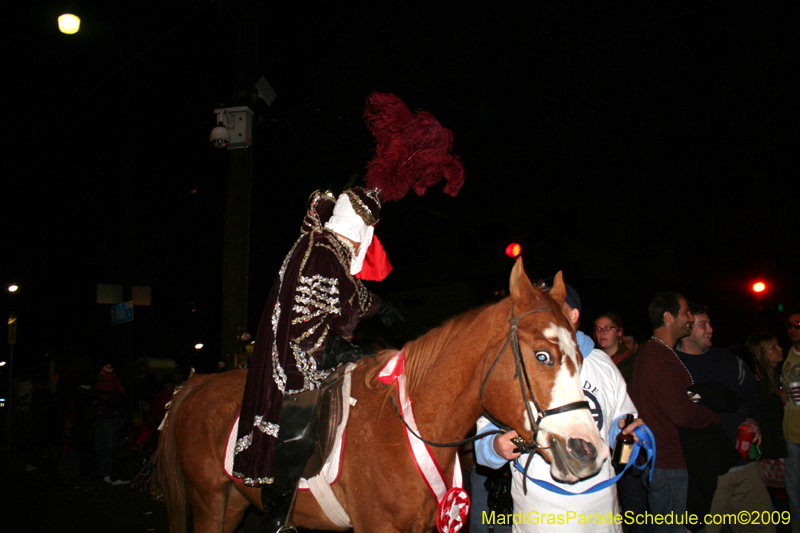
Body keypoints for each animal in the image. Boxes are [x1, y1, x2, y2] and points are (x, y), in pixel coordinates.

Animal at [158, 260, 608, 532]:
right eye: (543, 355)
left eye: (579, 355)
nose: (588, 450)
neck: (407, 425)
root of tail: (197, 384)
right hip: (209, 500)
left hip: (234, 501)